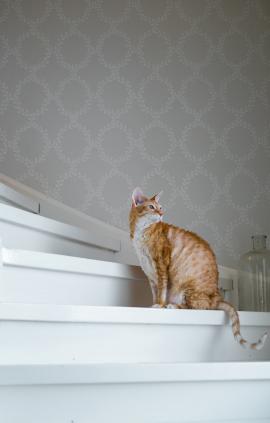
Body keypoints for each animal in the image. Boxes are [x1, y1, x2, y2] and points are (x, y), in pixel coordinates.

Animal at [130, 188, 266, 352]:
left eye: (160, 207)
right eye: (151, 207)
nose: (162, 213)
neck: (141, 235)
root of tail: (217, 297)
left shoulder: (161, 266)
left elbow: (162, 291)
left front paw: (160, 305)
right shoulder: (149, 273)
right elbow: (155, 293)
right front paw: (154, 304)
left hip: (187, 290)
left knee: (197, 307)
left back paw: (173, 305)